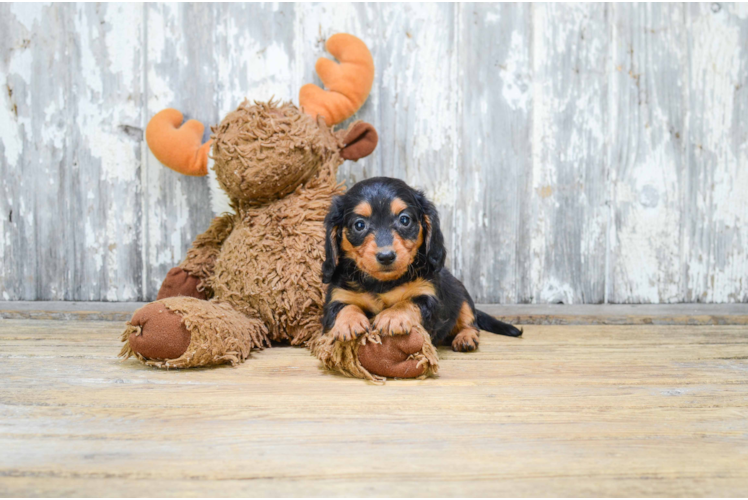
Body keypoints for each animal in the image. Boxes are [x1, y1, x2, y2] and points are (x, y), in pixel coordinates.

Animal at [320, 177, 520, 352]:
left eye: (404, 220)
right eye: (359, 225)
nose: (386, 256)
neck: (382, 283)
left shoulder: (427, 295)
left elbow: (408, 302)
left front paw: (392, 316)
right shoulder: (338, 295)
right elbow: (344, 307)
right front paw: (348, 322)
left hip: (463, 299)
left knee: (470, 323)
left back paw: (465, 338)